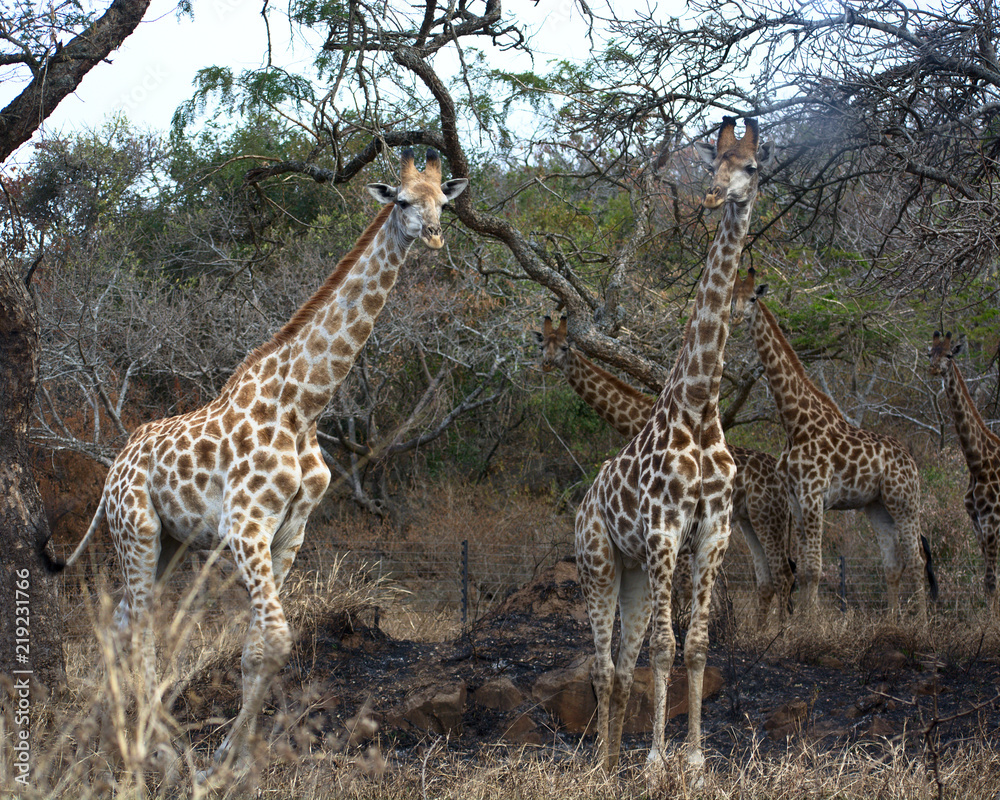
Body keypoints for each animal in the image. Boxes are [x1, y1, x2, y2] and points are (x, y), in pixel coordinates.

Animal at [56, 148, 468, 773]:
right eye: (401, 201)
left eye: (443, 200)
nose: (435, 235)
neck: (303, 404)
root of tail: (114, 468)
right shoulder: (244, 524)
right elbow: (274, 639)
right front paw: (220, 759)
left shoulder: (290, 530)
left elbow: (256, 646)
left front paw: (237, 757)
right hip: (137, 528)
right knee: (142, 626)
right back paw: (158, 749)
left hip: (170, 543)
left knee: (125, 619)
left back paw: (109, 729)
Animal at [535, 314, 795, 625]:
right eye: (542, 346)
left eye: (564, 347)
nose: (546, 363)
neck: (637, 419)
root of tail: (783, 479)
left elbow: (679, 580)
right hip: (750, 521)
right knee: (767, 579)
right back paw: (761, 631)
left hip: (768, 516)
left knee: (784, 574)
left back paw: (784, 631)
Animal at [574, 117, 771, 773]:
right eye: (713, 160)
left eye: (751, 167)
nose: (713, 196)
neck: (700, 407)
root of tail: (585, 501)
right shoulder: (664, 529)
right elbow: (666, 646)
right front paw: (659, 760)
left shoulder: (714, 529)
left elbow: (698, 645)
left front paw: (696, 761)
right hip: (598, 563)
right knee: (603, 667)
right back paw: (605, 767)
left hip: (634, 573)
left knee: (620, 667)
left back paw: (613, 766)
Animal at [731, 268, 937, 617]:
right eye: (732, 295)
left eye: (753, 298)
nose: (733, 317)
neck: (795, 424)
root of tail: (912, 461)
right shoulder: (796, 500)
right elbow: (803, 570)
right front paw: (800, 625)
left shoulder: (814, 495)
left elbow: (813, 570)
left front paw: (811, 628)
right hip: (877, 507)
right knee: (892, 564)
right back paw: (892, 623)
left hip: (905, 502)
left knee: (917, 561)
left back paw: (920, 624)